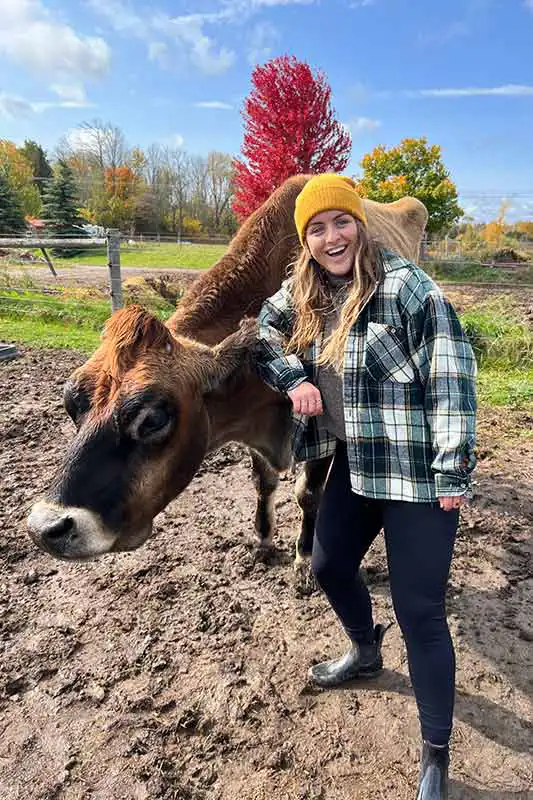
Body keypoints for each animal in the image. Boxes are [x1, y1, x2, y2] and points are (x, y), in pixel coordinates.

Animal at [27, 175, 427, 563]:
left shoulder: (326, 423)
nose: (46, 528)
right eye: (71, 405)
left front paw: (303, 558)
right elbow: (263, 482)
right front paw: (263, 541)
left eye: (153, 420)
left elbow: (309, 492)